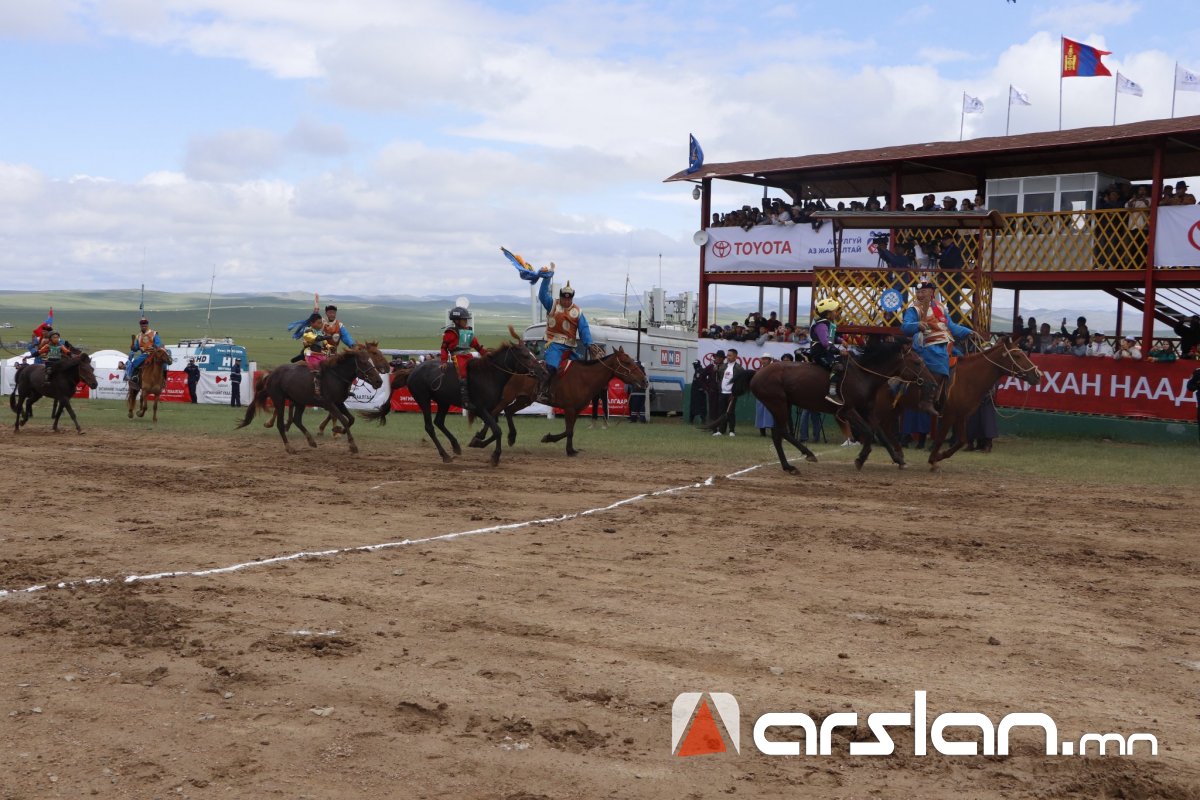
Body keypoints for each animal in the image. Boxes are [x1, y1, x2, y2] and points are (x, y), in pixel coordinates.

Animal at [234, 345, 384, 455]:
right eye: (364, 362)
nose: (379, 381)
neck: (335, 376)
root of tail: (271, 374)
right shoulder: (329, 403)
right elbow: (344, 420)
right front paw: (352, 445)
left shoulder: (339, 403)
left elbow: (351, 419)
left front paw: (337, 429)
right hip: (279, 400)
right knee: (281, 424)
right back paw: (289, 447)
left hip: (300, 402)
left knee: (297, 420)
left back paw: (311, 440)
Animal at [360, 340, 540, 465]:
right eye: (525, 355)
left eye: (531, 354)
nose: (540, 370)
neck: (489, 374)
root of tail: (413, 370)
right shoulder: (481, 409)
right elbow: (497, 430)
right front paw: (495, 457)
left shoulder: (491, 410)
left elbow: (493, 429)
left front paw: (479, 442)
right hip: (423, 399)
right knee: (430, 426)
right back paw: (445, 455)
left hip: (443, 402)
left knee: (439, 422)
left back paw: (455, 446)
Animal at [748, 335, 936, 472]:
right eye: (917, 362)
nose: (932, 383)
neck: (863, 375)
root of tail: (757, 375)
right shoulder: (847, 410)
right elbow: (869, 432)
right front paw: (861, 459)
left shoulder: (867, 410)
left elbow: (881, 434)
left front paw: (898, 460)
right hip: (778, 404)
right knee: (781, 432)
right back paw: (795, 462)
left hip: (783, 405)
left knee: (779, 433)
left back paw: (794, 461)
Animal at [873, 335, 1041, 470]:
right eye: (1017, 356)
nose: (1037, 375)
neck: (968, 378)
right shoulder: (949, 415)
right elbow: (941, 438)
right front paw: (934, 460)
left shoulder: (962, 416)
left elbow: (961, 440)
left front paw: (939, 456)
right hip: (883, 407)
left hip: (894, 408)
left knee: (885, 427)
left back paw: (899, 457)